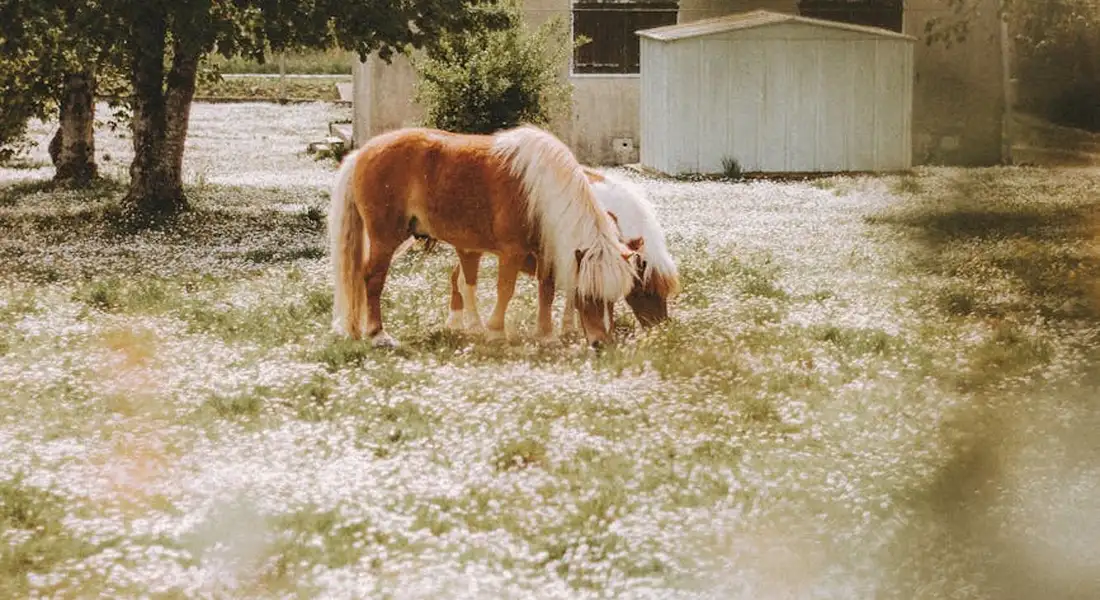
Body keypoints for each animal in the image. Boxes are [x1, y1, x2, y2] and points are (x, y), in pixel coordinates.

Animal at [328, 125, 638, 348]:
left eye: (612, 299)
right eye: (588, 294)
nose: (601, 343)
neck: (540, 190)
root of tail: (362, 153)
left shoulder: (545, 251)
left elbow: (546, 291)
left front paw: (545, 334)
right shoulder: (512, 252)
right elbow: (506, 289)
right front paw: (496, 331)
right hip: (384, 238)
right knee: (373, 279)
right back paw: (378, 335)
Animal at [423, 167, 680, 337]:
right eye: (648, 290)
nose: (662, 328)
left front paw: (570, 326)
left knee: (456, 278)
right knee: (463, 281)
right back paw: (466, 324)